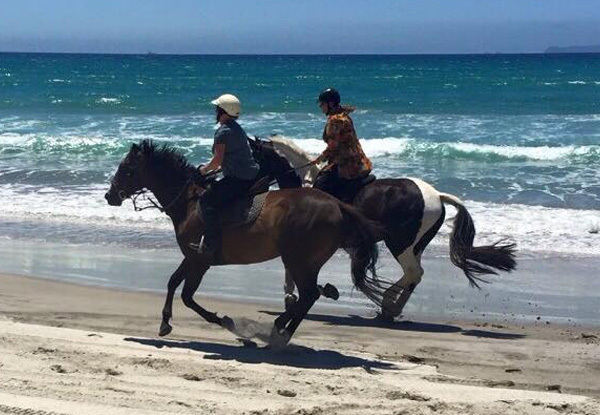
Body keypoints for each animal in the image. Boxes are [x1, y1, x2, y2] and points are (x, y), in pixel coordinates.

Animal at [105, 141, 386, 346]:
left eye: (127, 169)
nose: (109, 196)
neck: (189, 203)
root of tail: (337, 204)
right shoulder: (192, 257)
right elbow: (174, 283)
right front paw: (166, 322)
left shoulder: (200, 260)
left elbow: (186, 295)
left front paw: (222, 321)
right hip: (307, 261)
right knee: (309, 296)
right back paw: (283, 330)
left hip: (297, 259)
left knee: (308, 295)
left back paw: (279, 331)